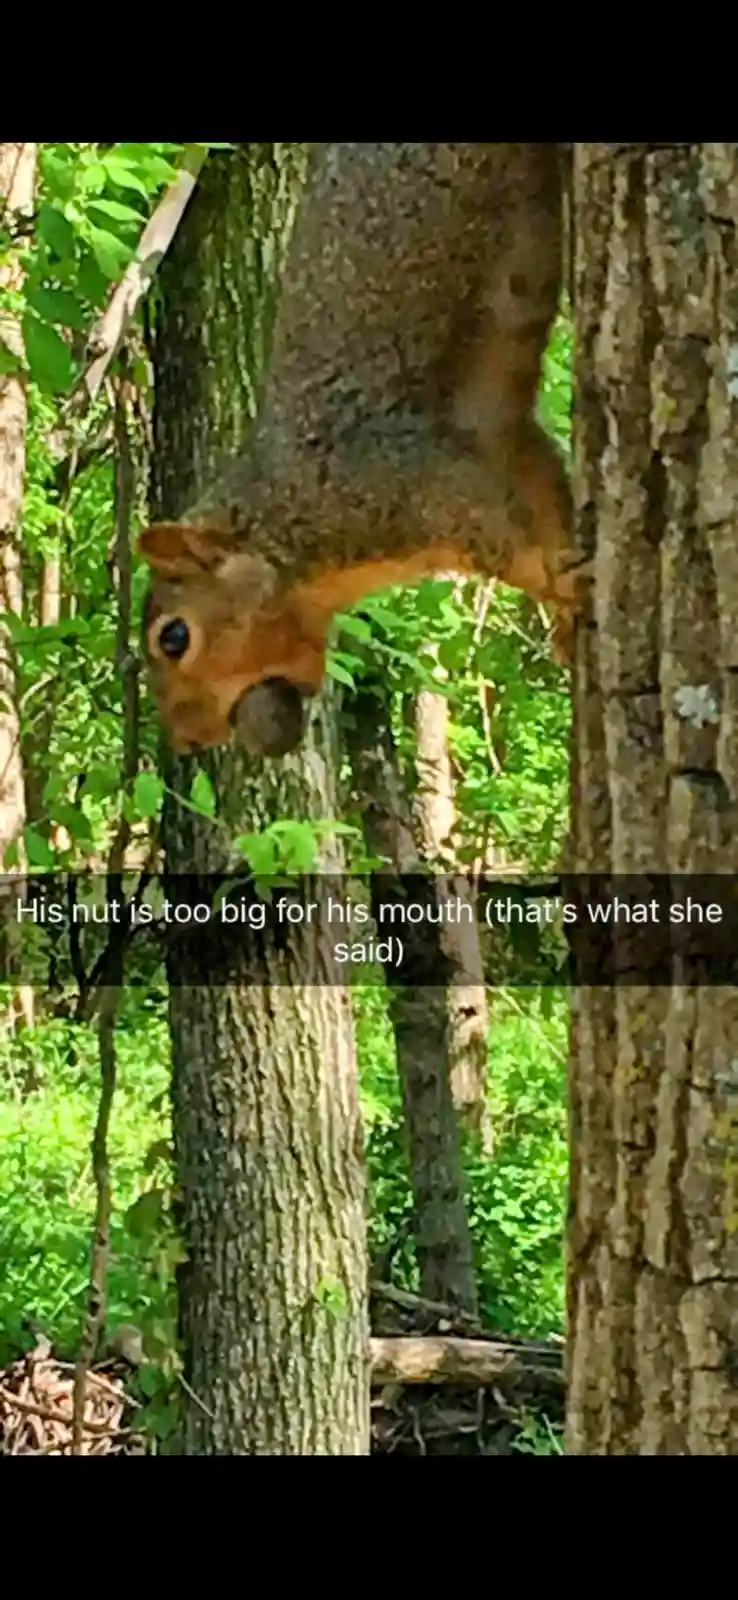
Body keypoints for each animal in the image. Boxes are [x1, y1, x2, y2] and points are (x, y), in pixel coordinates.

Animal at [139, 143, 582, 757]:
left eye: (174, 637)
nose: (186, 739)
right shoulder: (499, 443)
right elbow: (544, 491)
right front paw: (564, 616)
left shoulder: (403, 482)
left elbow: (503, 542)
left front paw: (563, 585)